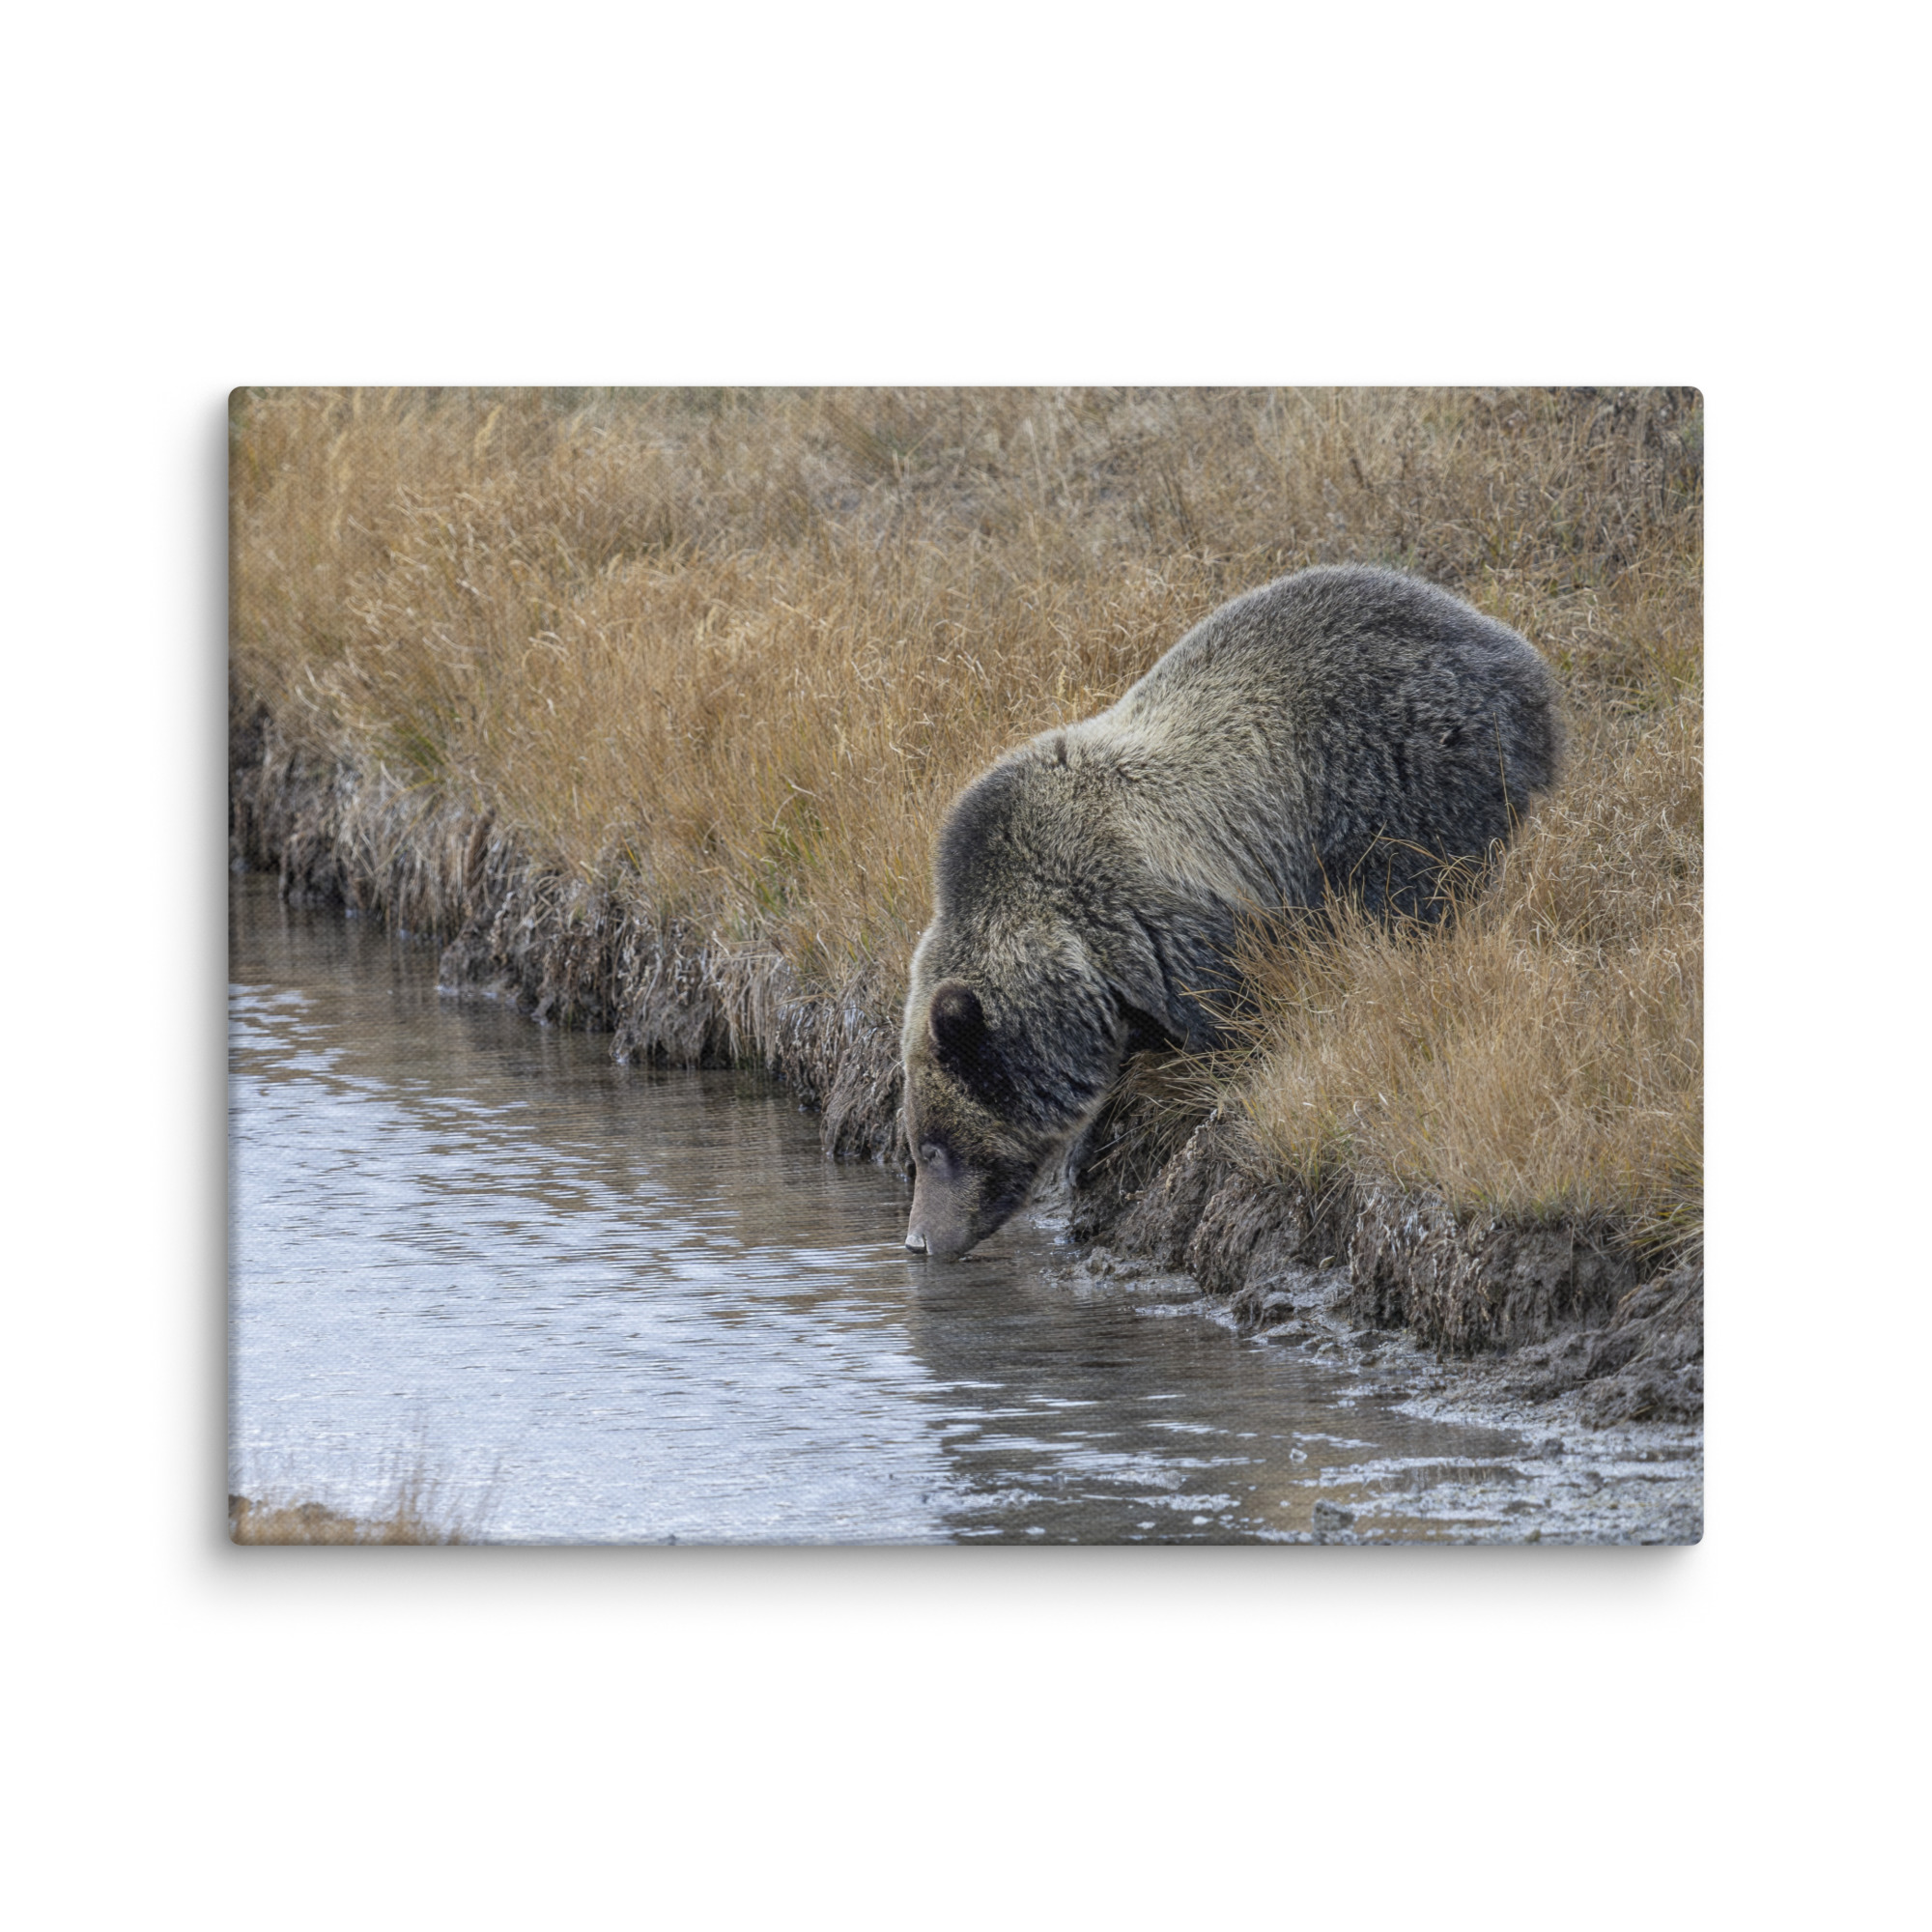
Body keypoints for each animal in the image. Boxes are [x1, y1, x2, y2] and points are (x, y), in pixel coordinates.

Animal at [899, 564, 1562, 1262]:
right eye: (916, 1146)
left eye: (934, 1147)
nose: (918, 1240)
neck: (1076, 954)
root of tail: (1515, 650)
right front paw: (1089, 1143)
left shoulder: (1164, 924)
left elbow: (1230, 1020)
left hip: (1403, 774)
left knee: (1415, 891)